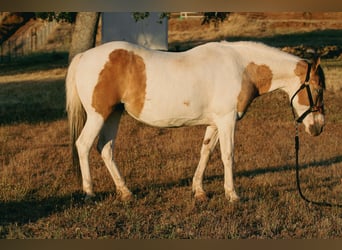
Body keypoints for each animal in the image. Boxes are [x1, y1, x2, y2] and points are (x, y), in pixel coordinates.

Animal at [65, 40, 324, 201]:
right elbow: (227, 155)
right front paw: (232, 194)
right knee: (83, 145)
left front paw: (199, 191)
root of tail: (84, 56)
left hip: (113, 114)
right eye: (318, 88)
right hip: (98, 115)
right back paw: (89, 192)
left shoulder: (215, 123)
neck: (241, 67)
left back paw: (125, 192)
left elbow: (206, 153)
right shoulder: (227, 121)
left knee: (105, 148)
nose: (319, 127)